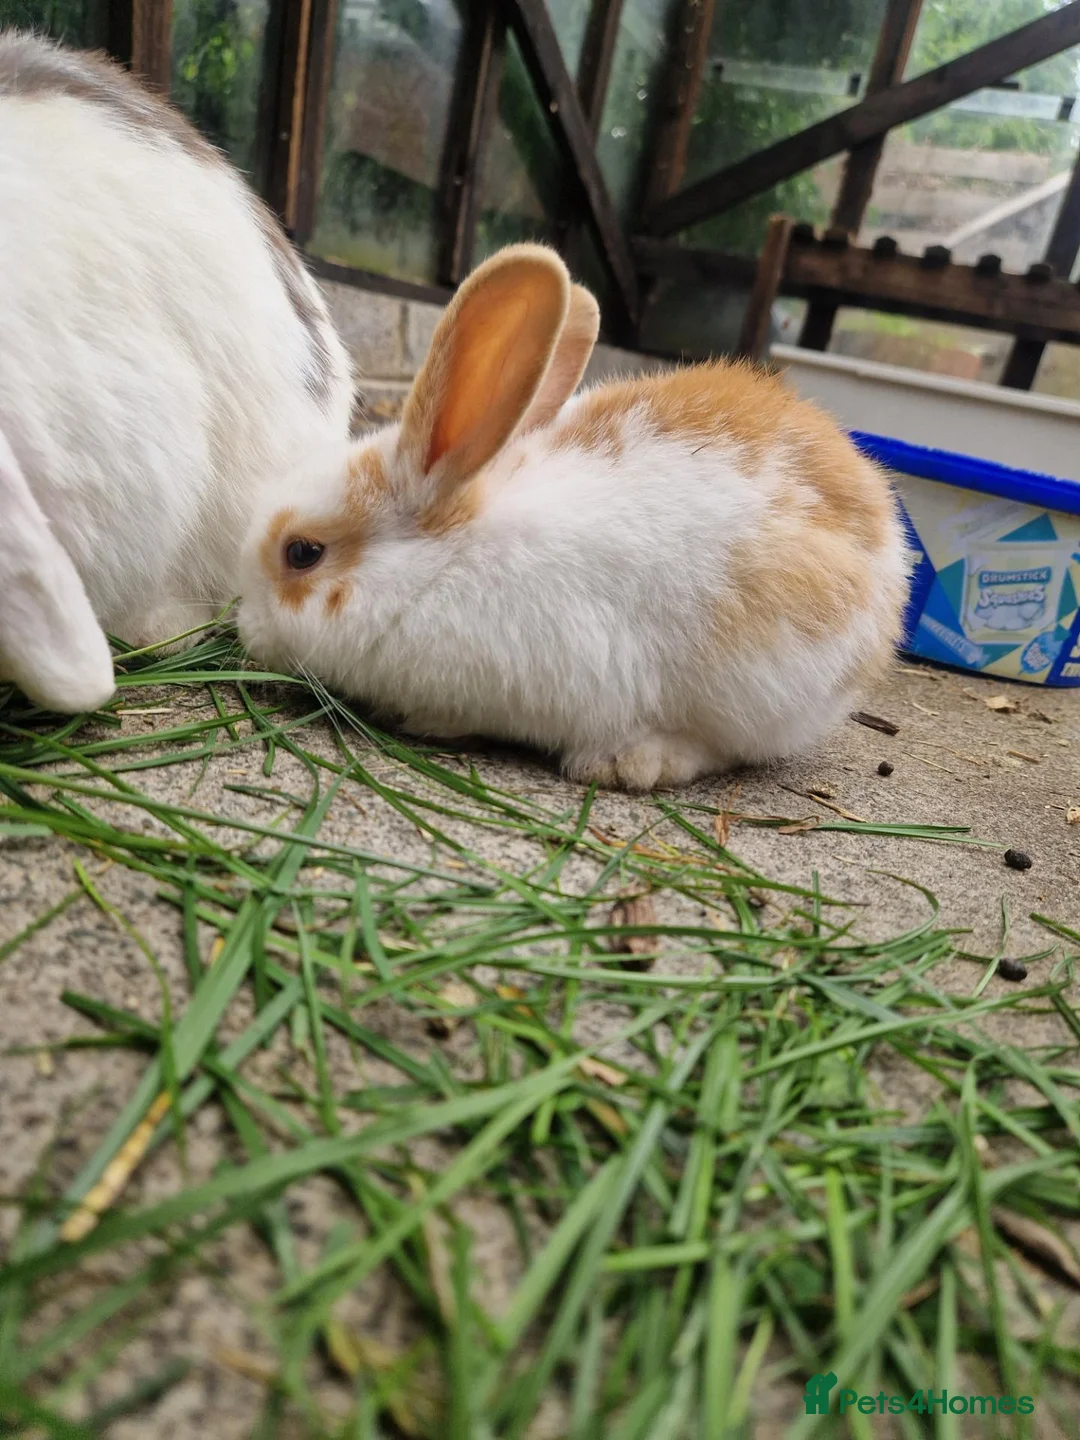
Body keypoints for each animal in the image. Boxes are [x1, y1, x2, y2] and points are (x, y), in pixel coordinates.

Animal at [237, 243, 911, 792]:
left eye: (302, 552)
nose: (245, 630)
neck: (444, 563)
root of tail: (891, 542)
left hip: (764, 686)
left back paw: (634, 763)